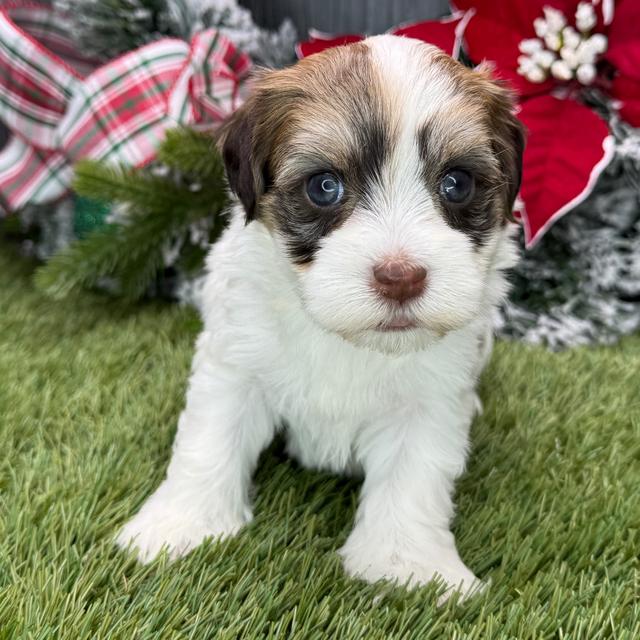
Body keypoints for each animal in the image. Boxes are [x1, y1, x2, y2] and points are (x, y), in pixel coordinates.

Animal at [116, 32, 524, 604]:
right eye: (324, 186)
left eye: (458, 183)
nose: (400, 277)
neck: (348, 338)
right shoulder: (235, 364)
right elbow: (208, 441)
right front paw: (181, 525)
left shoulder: (431, 401)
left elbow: (413, 480)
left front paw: (409, 567)